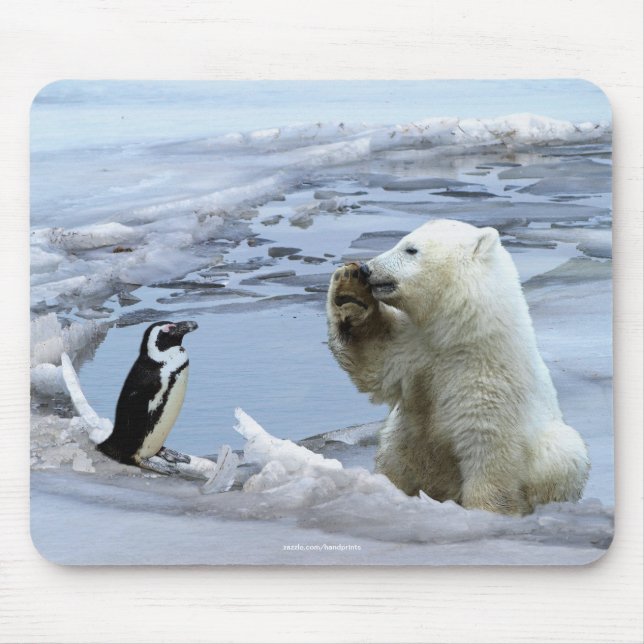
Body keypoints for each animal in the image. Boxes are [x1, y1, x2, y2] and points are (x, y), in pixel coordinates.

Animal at [326, 218, 589, 515]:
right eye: (402, 241)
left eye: (411, 249)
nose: (367, 268)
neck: (459, 333)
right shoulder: (412, 348)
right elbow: (374, 357)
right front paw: (350, 291)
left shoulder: (488, 379)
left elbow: (489, 454)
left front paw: (485, 511)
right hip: (398, 445)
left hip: (555, 449)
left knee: (564, 453)